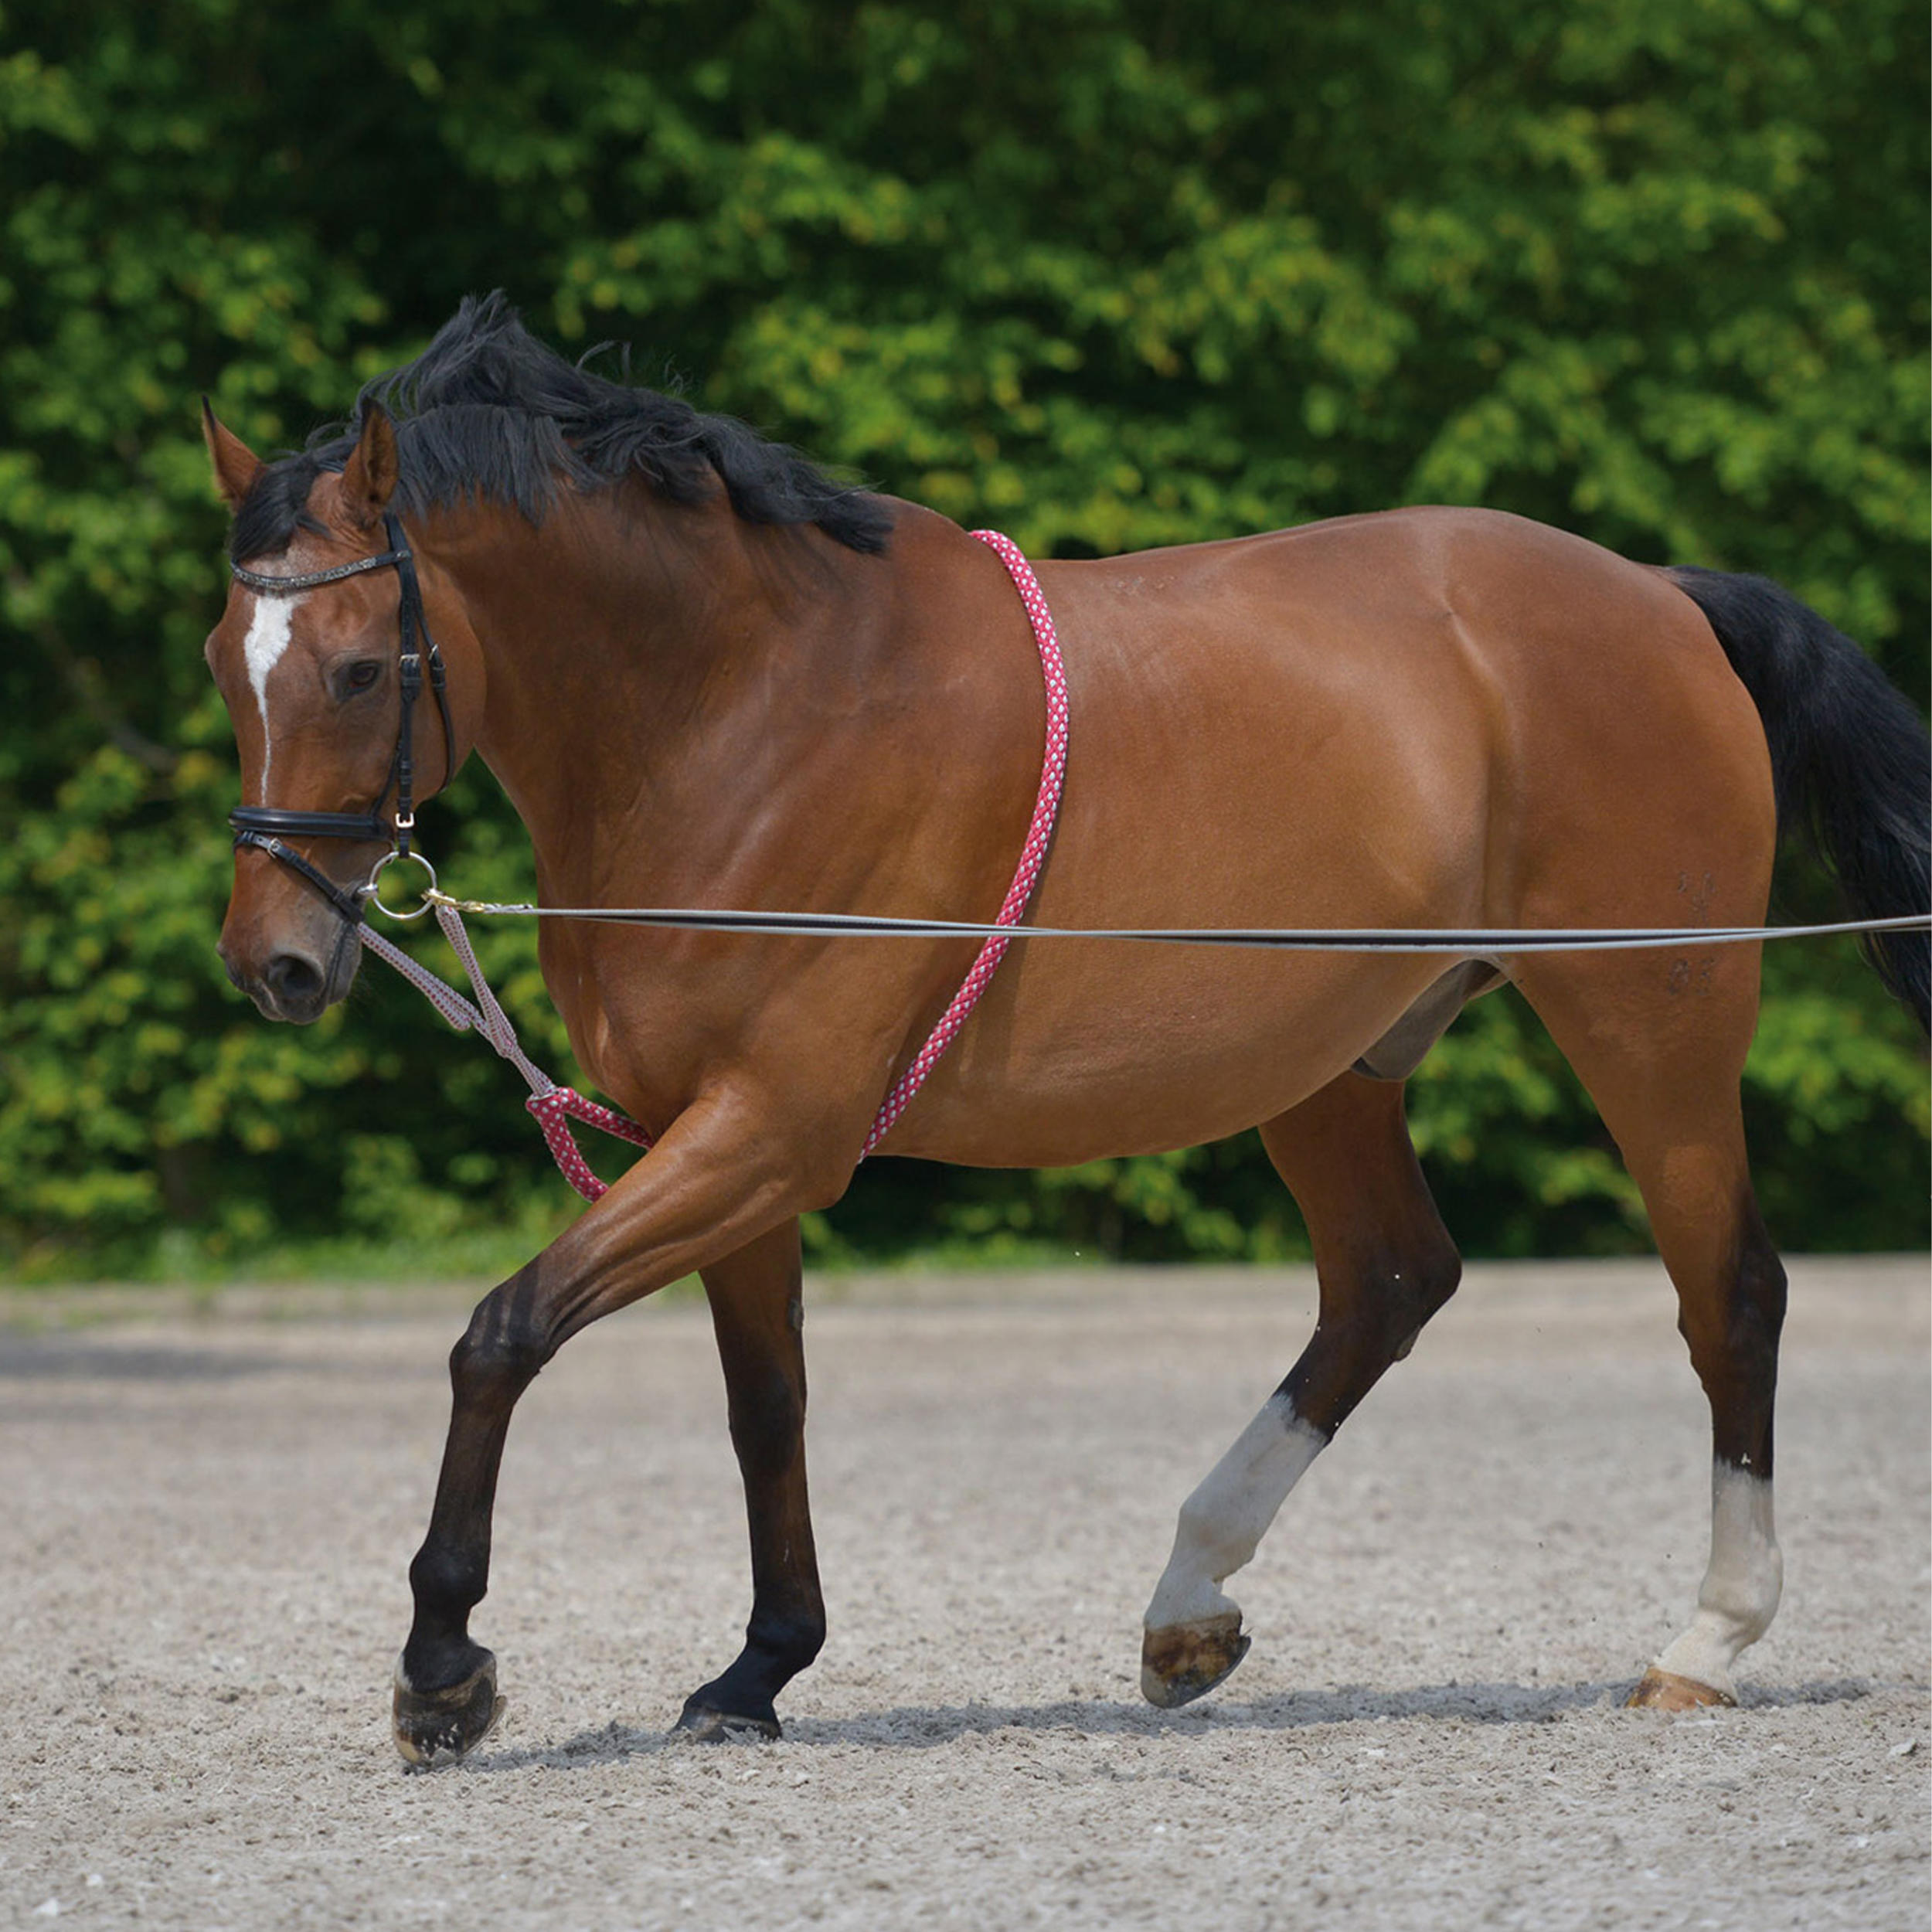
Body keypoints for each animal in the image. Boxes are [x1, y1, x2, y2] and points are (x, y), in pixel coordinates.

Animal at [203, 294, 1924, 1762]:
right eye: (229, 662)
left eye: (361, 666)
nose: (275, 961)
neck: (746, 708)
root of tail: (1661, 597)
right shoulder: (721, 1140)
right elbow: (767, 1405)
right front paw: (757, 1670)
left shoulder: (770, 1130)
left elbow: (501, 1334)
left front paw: (442, 1672)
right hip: (1327, 1065)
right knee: (1387, 1281)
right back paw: (1186, 1609)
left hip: (1651, 1022)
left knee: (1729, 1295)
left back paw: (1704, 1641)